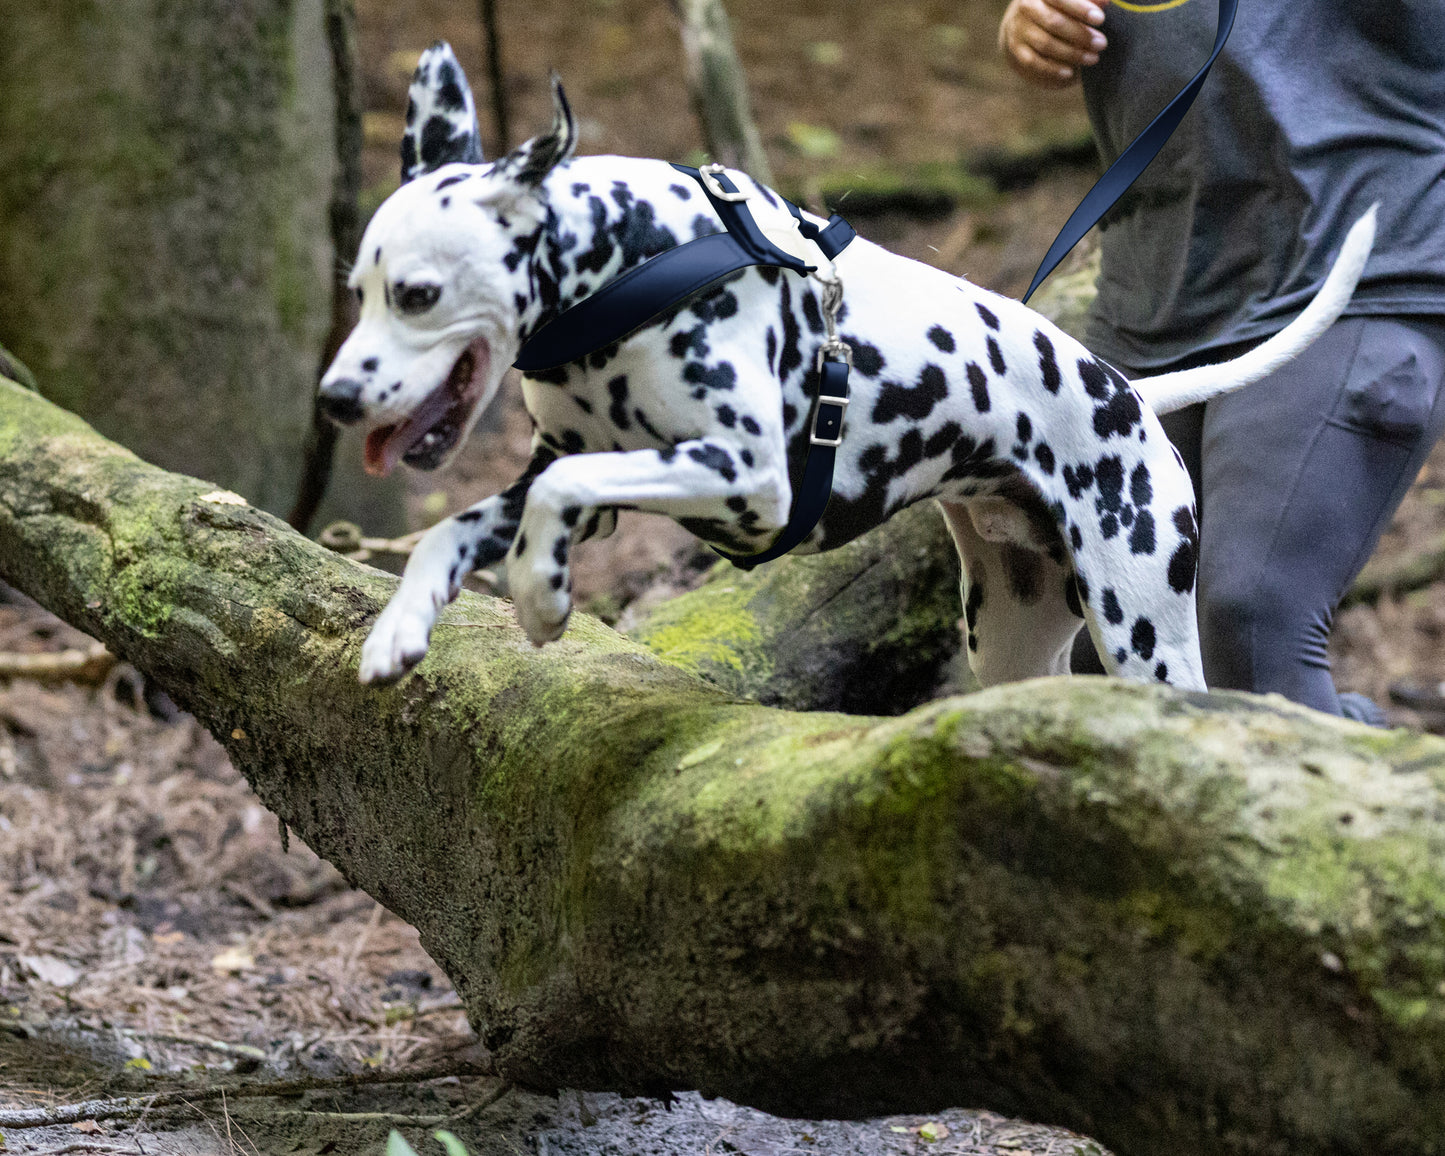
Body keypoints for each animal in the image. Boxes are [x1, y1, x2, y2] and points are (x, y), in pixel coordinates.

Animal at [322, 45, 1369, 690]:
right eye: (358, 290)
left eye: (416, 294)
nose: (334, 398)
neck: (632, 258)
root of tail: (1129, 394)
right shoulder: (577, 474)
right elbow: (456, 525)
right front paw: (400, 627)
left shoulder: (747, 479)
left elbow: (558, 493)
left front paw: (542, 600)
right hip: (1011, 636)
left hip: (1143, 628)